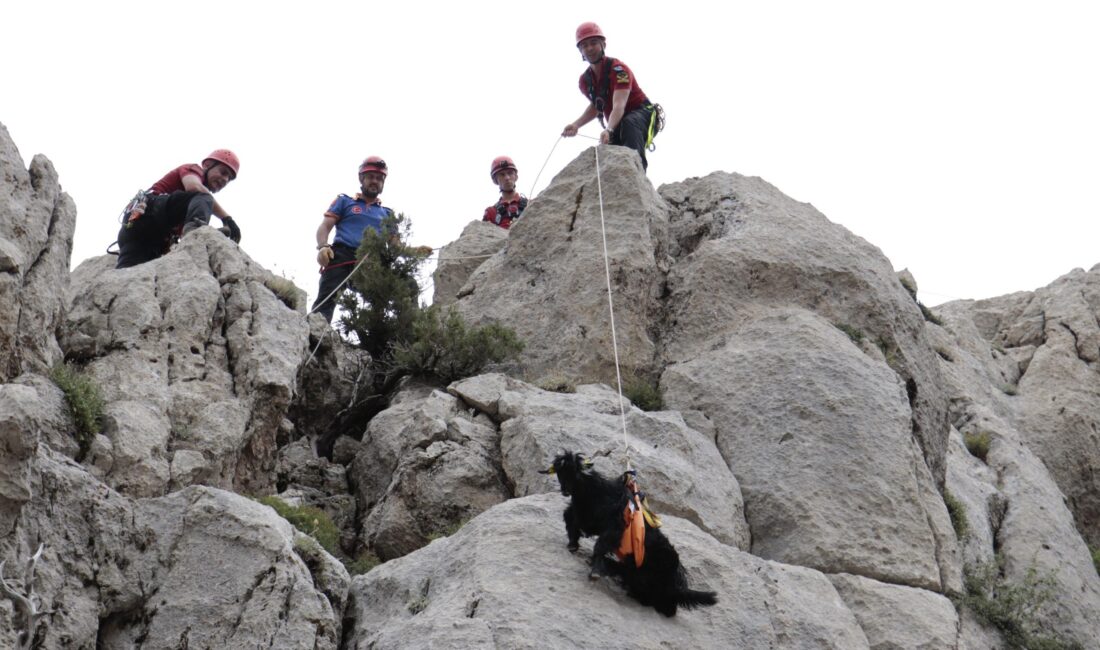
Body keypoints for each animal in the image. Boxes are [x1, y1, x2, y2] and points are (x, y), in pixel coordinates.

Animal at [539, 450, 712, 615]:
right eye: (559, 473)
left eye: (574, 473)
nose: (564, 491)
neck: (598, 494)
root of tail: (677, 587)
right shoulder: (587, 518)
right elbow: (570, 519)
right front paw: (573, 545)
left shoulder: (613, 528)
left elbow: (600, 545)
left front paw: (595, 571)